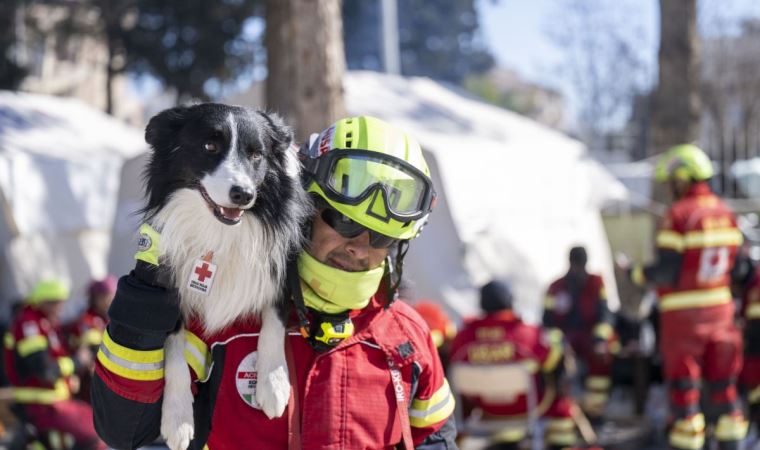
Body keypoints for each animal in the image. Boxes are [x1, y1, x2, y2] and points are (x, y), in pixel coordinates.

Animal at [141, 104, 310, 450]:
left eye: (257, 154)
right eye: (209, 146)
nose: (243, 194)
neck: (220, 233)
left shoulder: (281, 267)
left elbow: (274, 320)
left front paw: (273, 383)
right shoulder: (168, 283)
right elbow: (173, 348)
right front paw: (177, 419)